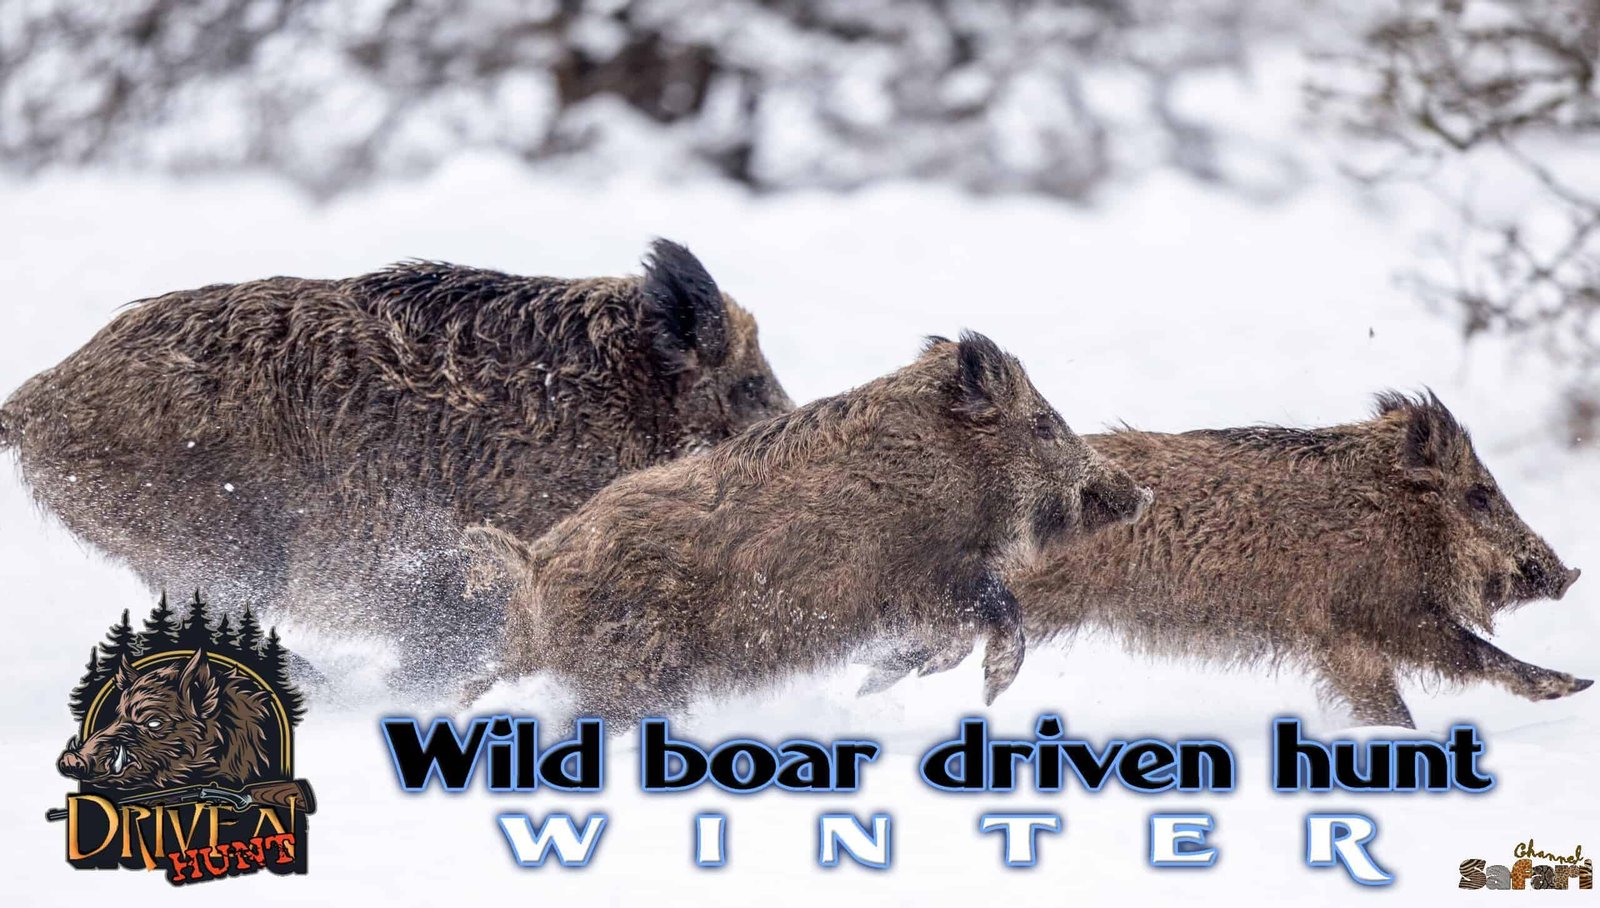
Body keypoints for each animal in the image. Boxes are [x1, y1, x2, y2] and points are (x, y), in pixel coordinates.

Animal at [469, 332, 1152, 728]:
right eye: (1044, 425)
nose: (1139, 496)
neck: (944, 467)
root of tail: (533, 567)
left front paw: (876, 684)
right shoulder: (925, 576)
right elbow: (1003, 612)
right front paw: (987, 693)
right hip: (629, 670)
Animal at [864, 392, 1588, 727]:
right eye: (1479, 494)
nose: (1567, 574)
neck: (1387, 511)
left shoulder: (1341, 643)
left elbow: (1389, 708)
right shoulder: (1376, 614)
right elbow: (1473, 653)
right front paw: (1576, 687)